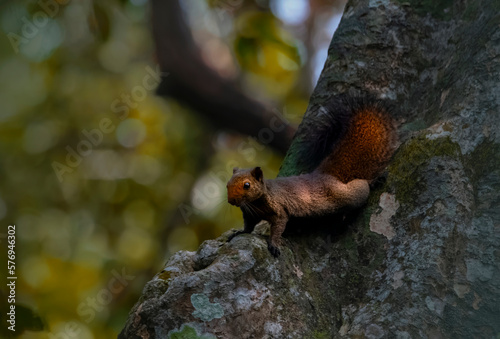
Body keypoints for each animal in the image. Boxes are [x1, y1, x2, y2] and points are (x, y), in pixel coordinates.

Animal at [228, 95, 398, 258]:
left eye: (247, 185)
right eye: (227, 185)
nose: (231, 201)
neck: (256, 202)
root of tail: (326, 174)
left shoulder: (278, 210)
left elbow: (278, 227)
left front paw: (274, 244)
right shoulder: (250, 215)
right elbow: (248, 227)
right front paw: (240, 232)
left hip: (345, 195)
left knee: (360, 190)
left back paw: (372, 181)